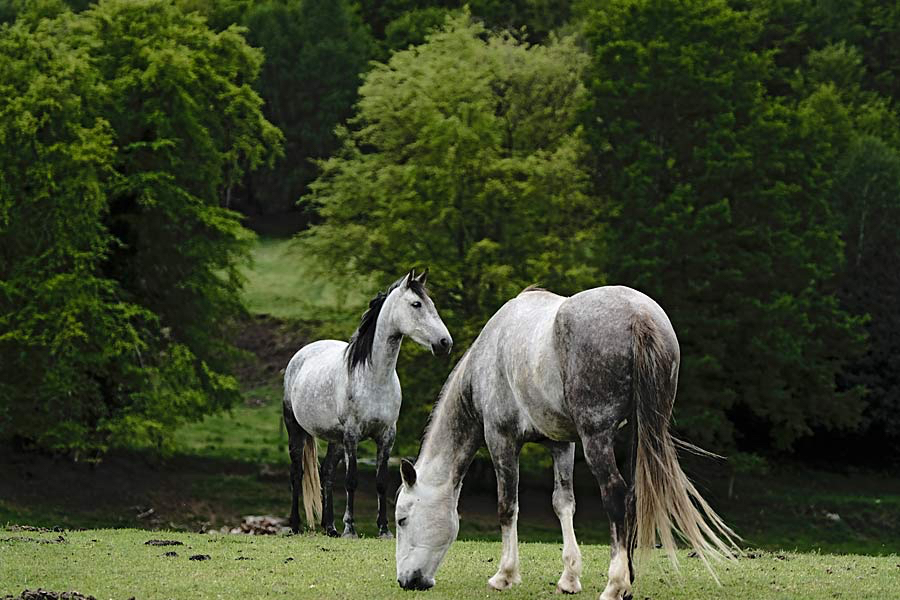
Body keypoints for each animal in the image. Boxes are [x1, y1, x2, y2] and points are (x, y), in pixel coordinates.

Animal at [284, 270, 450, 540]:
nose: (445, 343)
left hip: (335, 439)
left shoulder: (387, 435)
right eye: (416, 304)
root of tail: (301, 354)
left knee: (326, 472)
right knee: (296, 473)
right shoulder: (352, 435)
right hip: (295, 429)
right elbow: (351, 480)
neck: (374, 376)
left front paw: (384, 529)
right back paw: (295, 525)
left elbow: (381, 481)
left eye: (431, 304)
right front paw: (350, 529)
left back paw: (329, 527)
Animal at [394, 284, 740, 596]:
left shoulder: (501, 439)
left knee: (615, 494)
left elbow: (507, 506)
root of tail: (638, 315)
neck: (488, 356)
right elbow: (563, 504)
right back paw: (627, 578)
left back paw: (615, 585)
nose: (407, 581)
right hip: (638, 435)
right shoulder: (562, 444)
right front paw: (569, 578)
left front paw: (505, 575)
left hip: (596, 439)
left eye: (401, 519)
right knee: (633, 497)